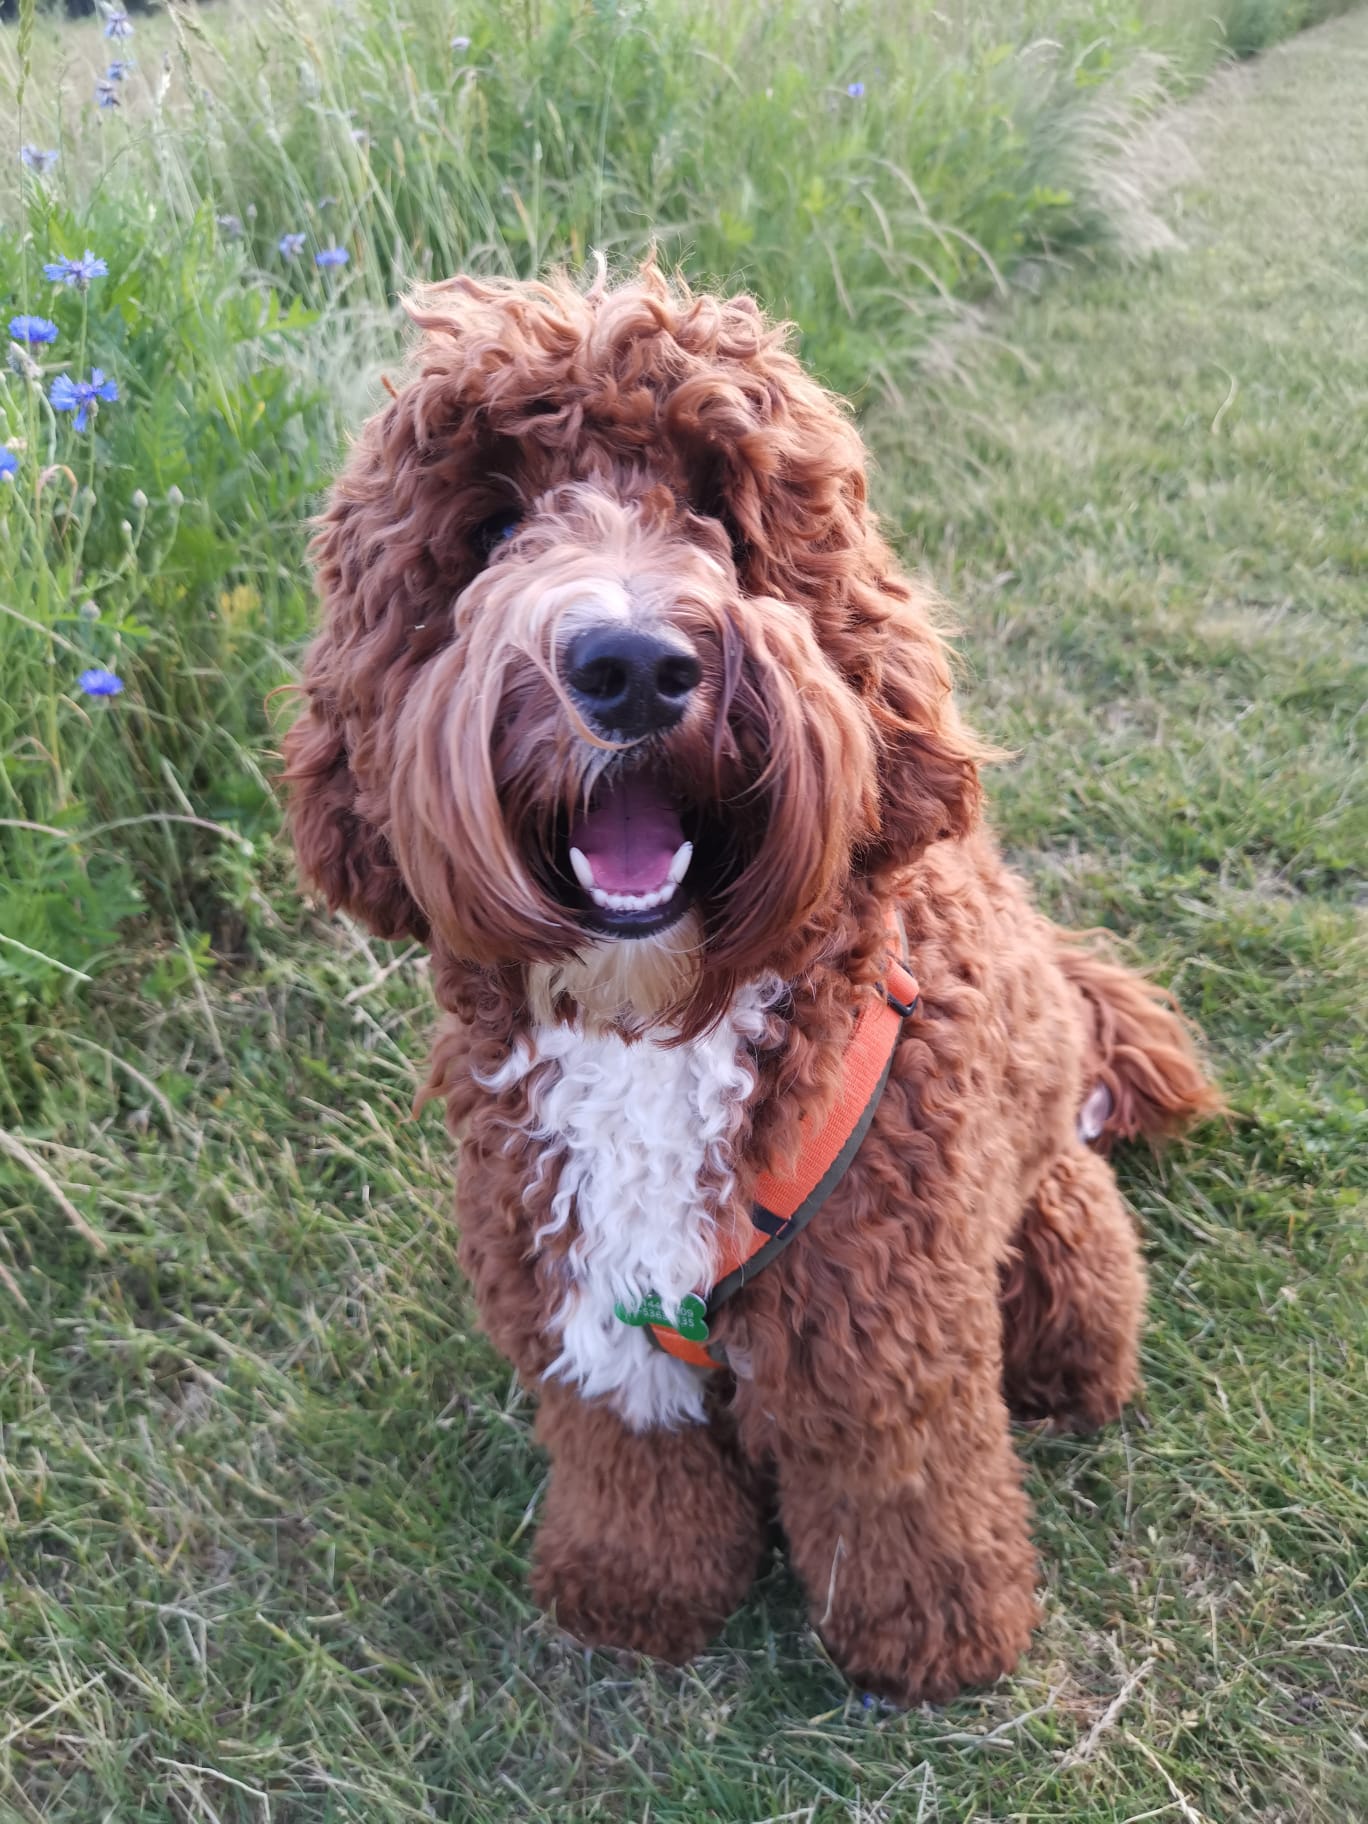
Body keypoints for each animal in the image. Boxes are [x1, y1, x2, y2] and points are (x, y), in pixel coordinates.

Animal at [284, 263, 1218, 1705]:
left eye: (720, 510)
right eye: (490, 526)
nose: (630, 666)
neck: (660, 1019)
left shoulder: (882, 1314)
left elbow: (901, 1482)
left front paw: (930, 1634)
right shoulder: (578, 1280)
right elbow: (634, 1458)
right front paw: (635, 1592)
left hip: (1052, 1244)